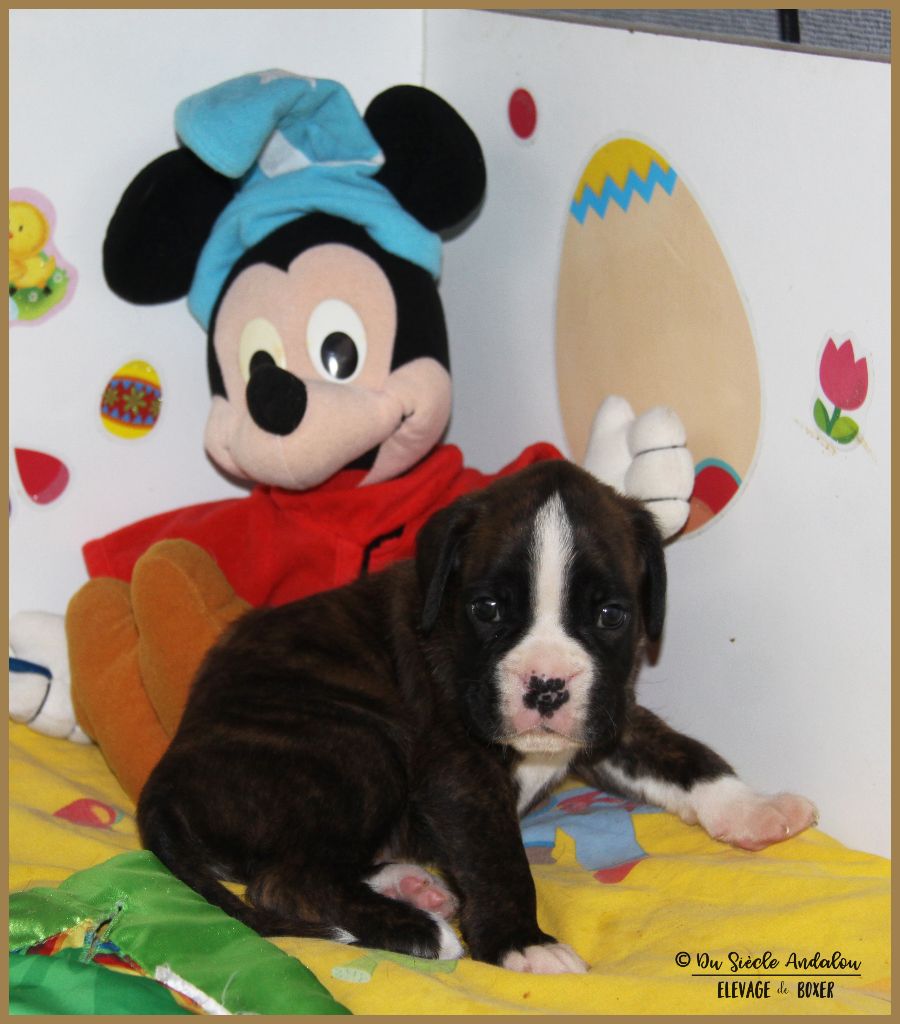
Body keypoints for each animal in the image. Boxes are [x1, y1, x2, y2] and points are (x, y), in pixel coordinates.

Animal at [137, 459, 817, 974]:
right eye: (487, 608)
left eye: (610, 615)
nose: (547, 685)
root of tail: (163, 781)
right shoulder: (460, 772)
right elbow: (498, 858)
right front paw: (523, 943)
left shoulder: (609, 714)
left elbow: (685, 755)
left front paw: (753, 809)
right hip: (358, 743)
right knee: (285, 877)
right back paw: (417, 929)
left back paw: (410, 885)